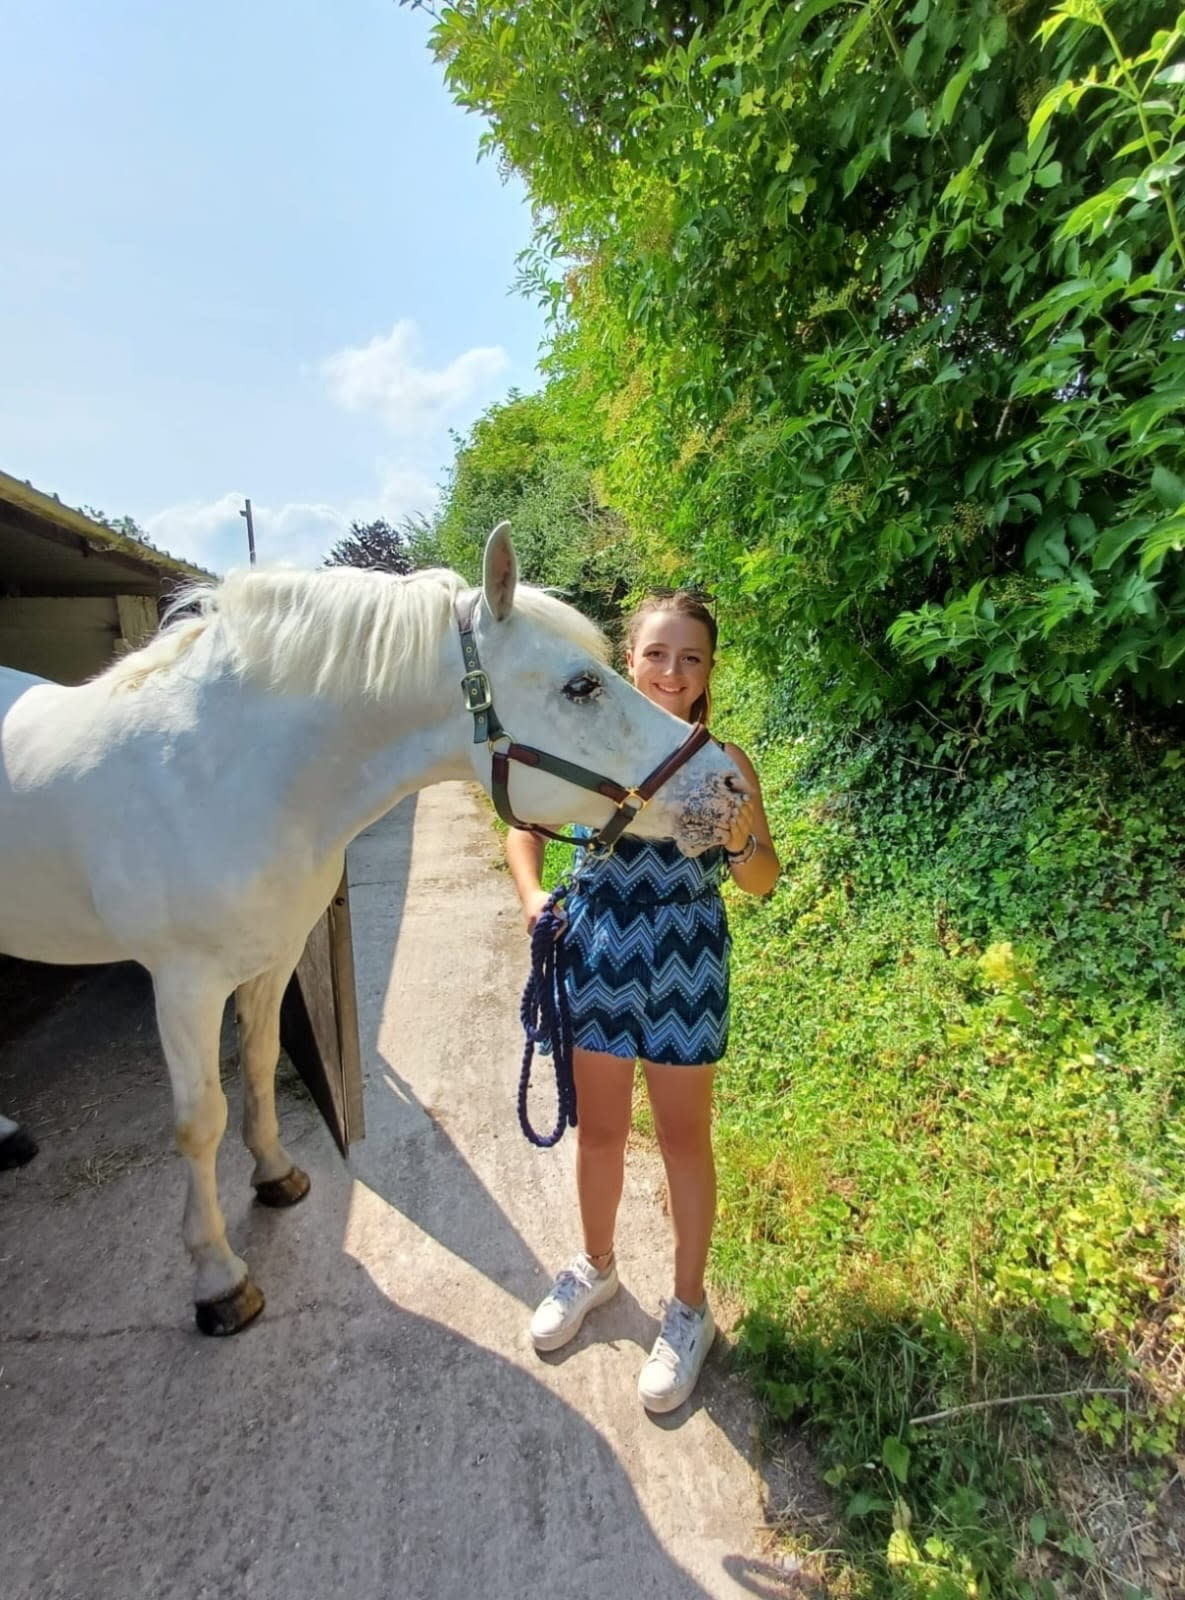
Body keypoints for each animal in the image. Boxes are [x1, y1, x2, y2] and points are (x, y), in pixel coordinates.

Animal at [0, 528, 738, 1337]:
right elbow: (200, 1122)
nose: (730, 782)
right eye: (581, 686)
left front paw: (276, 1176)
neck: (221, 772)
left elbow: (258, 1063)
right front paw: (219, 1278)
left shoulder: (271, 958)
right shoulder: (183, 983)